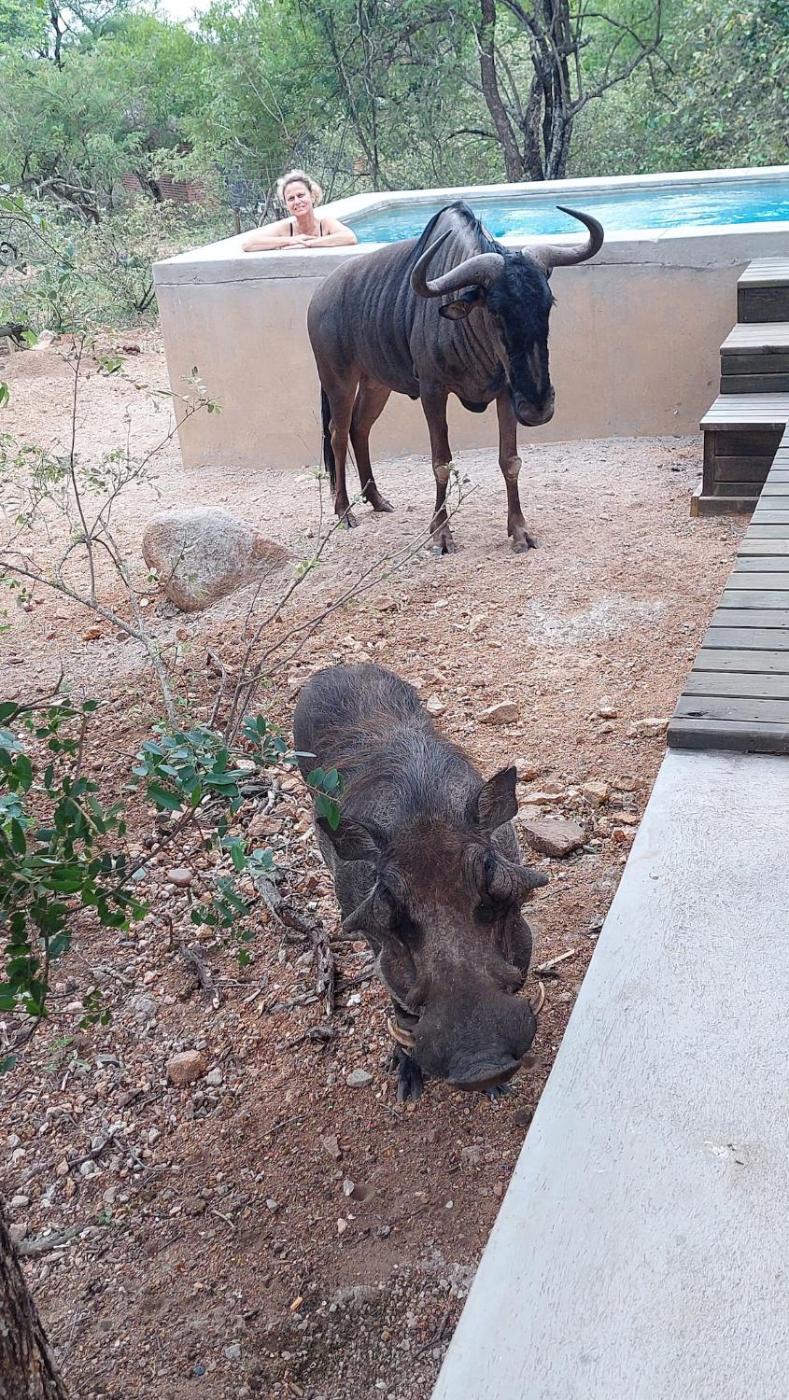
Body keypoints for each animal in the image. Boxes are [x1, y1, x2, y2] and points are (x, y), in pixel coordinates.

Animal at [293, 663, 547, 1102]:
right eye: (388, 900)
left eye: (490, 875)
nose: (483, 1067)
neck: (423, 812)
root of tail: (337, 667)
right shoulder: (375, 942)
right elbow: (401, 1006)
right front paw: (406, 1081)